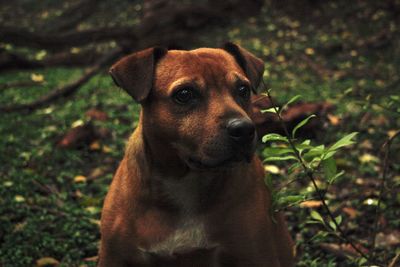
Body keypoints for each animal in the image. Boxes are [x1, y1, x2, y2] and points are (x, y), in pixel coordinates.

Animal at [99, 43, 296, 266]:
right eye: (184, 94)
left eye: (243, 90)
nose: (244, 129)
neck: (185, 181)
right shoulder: (113, 256)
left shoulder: (257, 255)